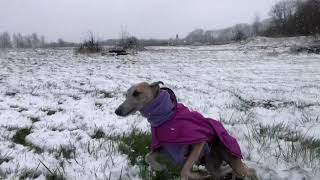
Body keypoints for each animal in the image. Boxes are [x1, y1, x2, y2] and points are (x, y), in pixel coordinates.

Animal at [115, 82, 258, 180]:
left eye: (136, 93)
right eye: (126, 95)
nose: (117, 111)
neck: (167, 117)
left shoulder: (199, 142)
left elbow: (184, 171)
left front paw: (197, 175)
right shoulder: (168, 149)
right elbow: (148, 157)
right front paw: (160, 167)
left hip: (232, 158)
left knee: (251, 170)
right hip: (213, 165)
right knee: (225, 170)